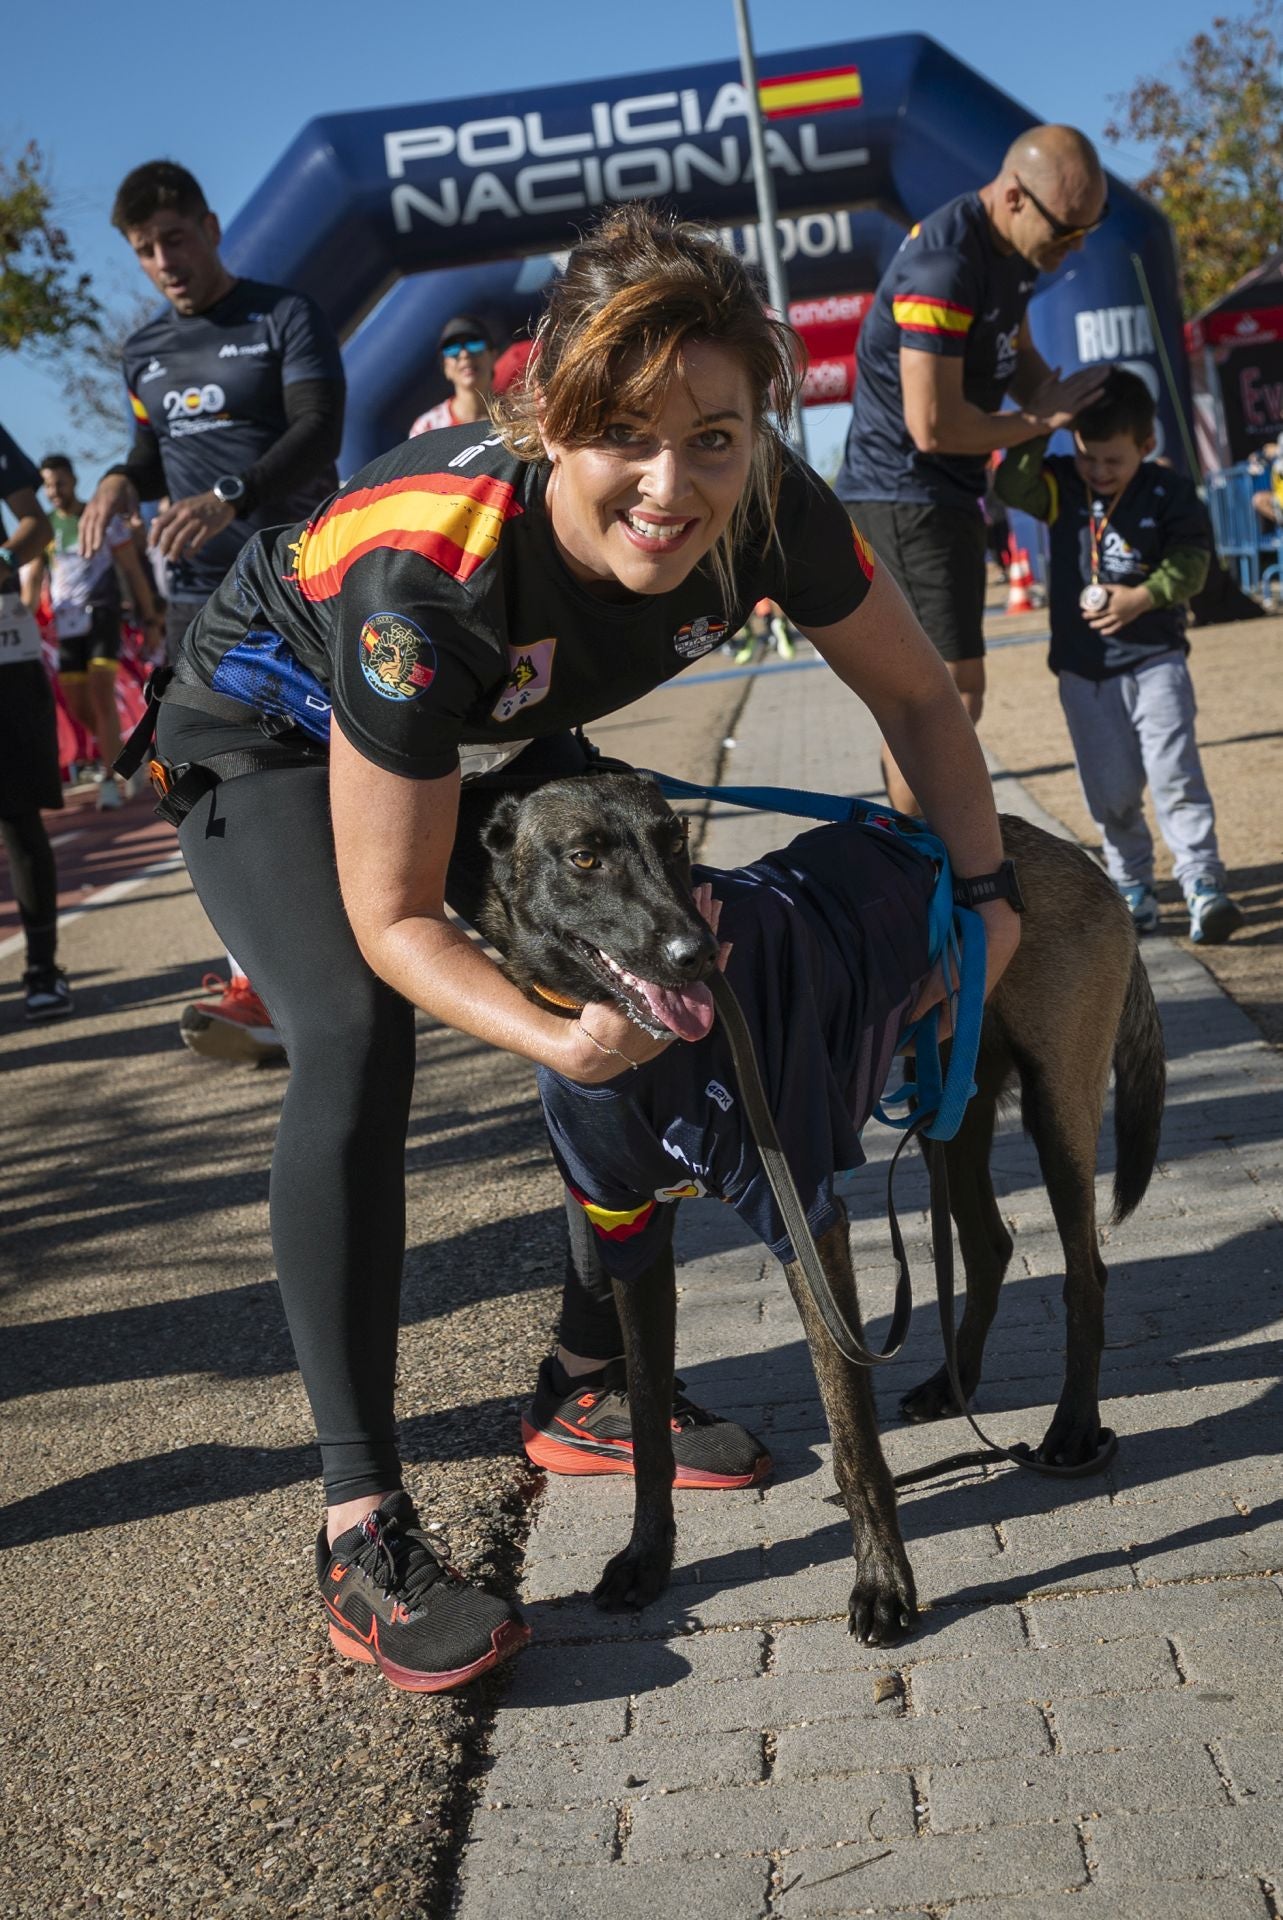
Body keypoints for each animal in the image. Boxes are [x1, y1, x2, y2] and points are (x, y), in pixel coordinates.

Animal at [476, 771, 1167, 1643]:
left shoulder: (805, 1221)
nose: (695, 955)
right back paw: (952, 1385)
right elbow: (649, 1428)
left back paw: (1071, 1428)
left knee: (1084, 1275)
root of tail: (1065, 852)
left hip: (1056, 1110)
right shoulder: (629, 1235)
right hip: (948, 1105)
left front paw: (882, 1585)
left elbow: (853, 1441)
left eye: (673, 840)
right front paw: (646, 1558)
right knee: (989, 1245)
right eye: (584, 857)